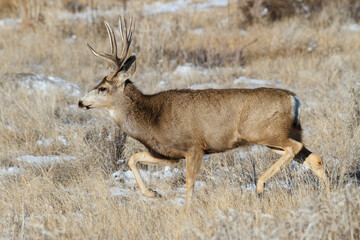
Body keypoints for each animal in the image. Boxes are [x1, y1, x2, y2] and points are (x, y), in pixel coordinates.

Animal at [78, 17, 330, 208]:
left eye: (102, 88)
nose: (80, 102)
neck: (151, 117)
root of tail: (294, 100)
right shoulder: (169, 153)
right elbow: (132, 158)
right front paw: (153, 193)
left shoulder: (194, 146)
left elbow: (190, 181)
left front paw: (186, 210)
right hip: (278, 137)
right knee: (314, 158)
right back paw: (328, 195)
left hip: (264, 132)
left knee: (296, 148)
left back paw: (260, 185)